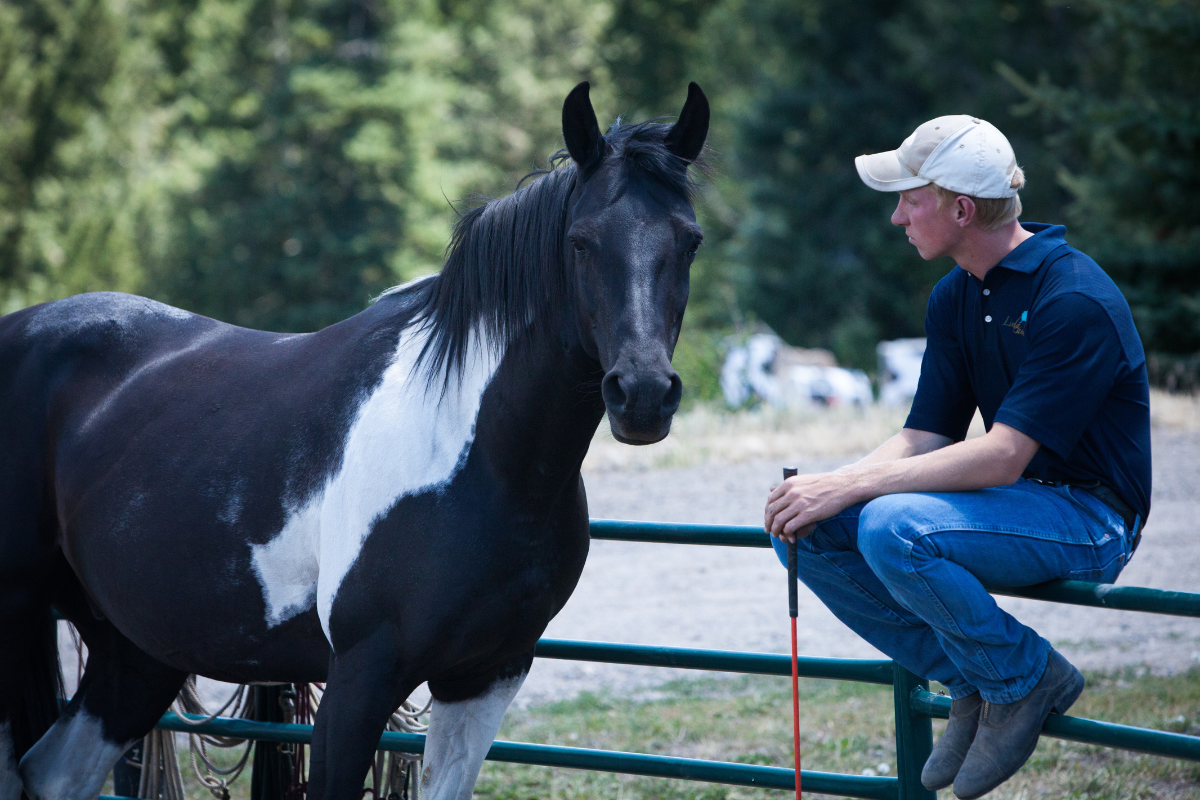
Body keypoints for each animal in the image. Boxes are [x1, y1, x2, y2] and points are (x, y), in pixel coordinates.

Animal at [0, 80, 708, 800]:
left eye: (691, 242)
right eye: (581, 242)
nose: (642, 395)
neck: (483, 459)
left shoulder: (487, 674)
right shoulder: (360, 679)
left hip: (137, 652)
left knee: (53, 772)